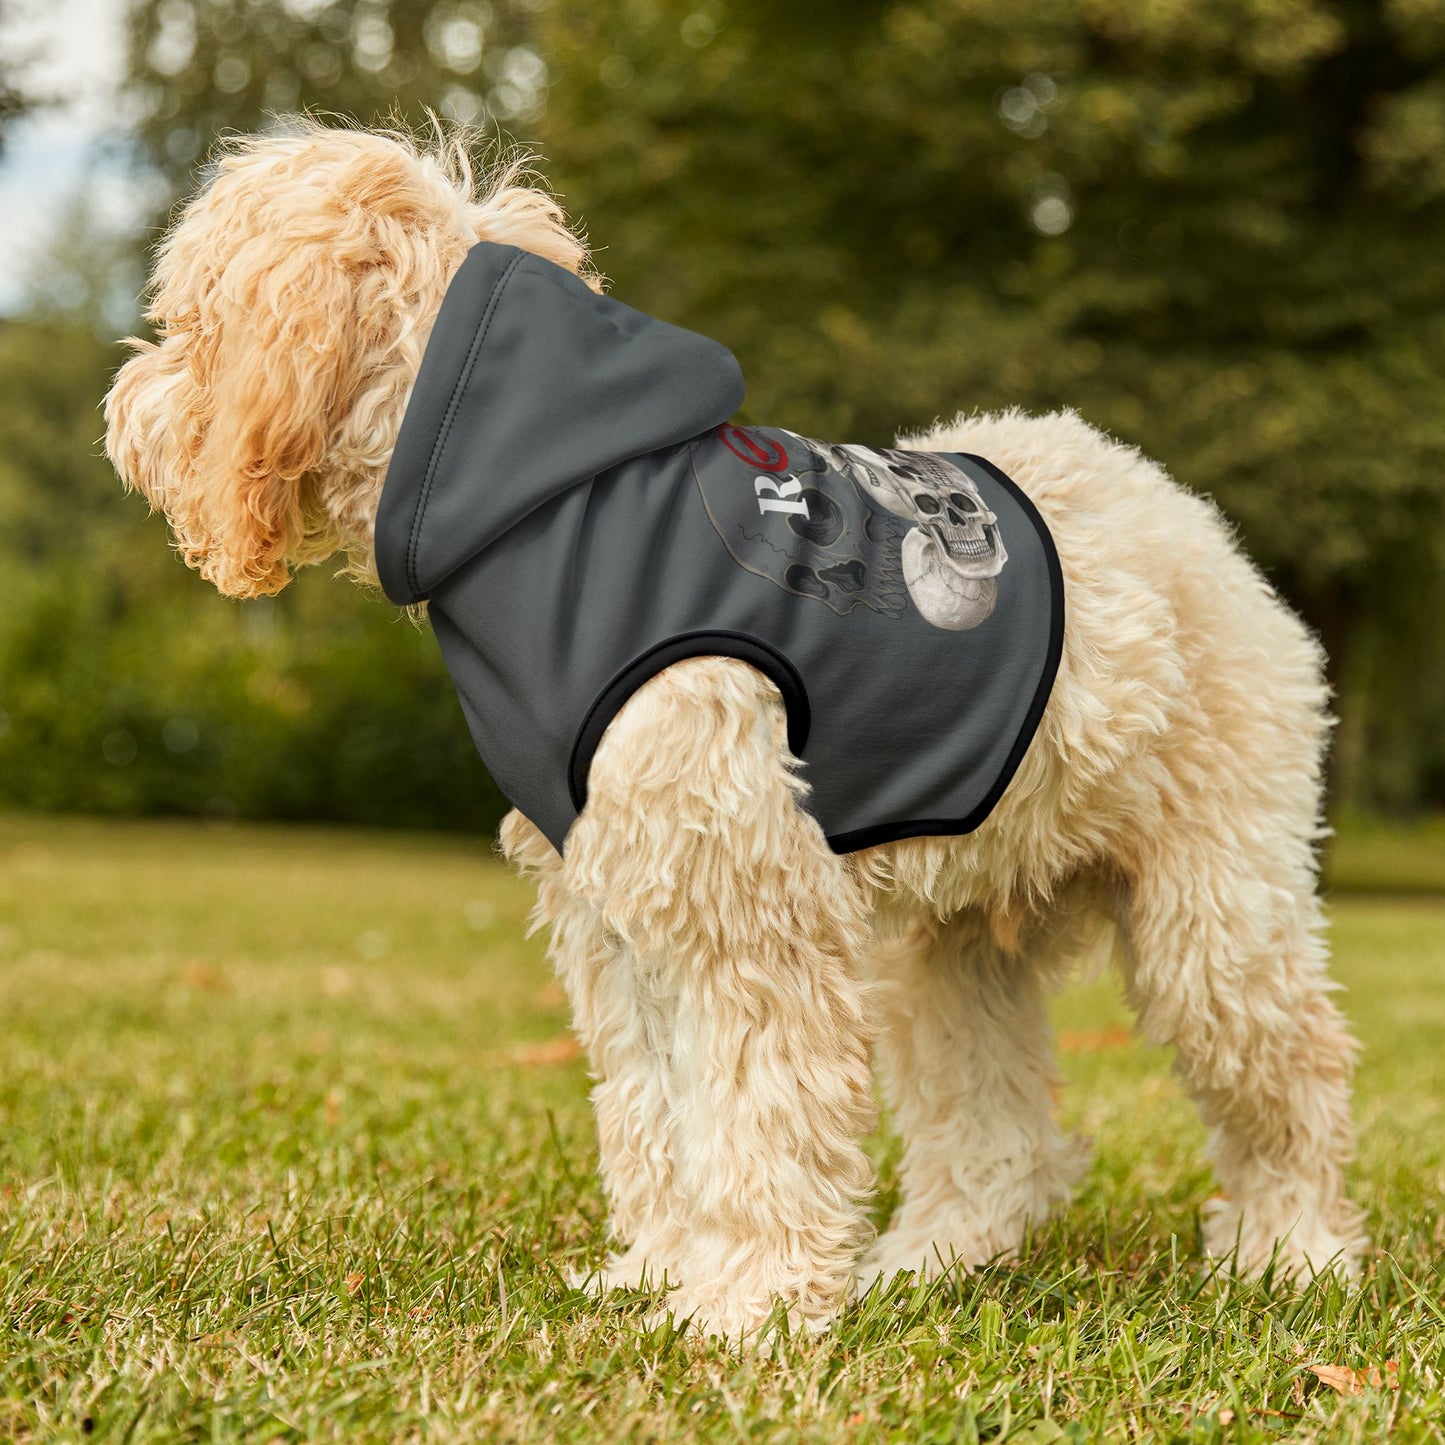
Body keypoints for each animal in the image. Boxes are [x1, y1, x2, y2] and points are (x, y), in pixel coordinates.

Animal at [104, 124, 1364, 1340]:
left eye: (190, 317)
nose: (123, 408)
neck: (544, 501)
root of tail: (1188, 517)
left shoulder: (744, 904)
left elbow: (758, 1112)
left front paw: (747, 1304)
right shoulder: (618, 909)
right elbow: (656, 1110)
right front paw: (662, 1273)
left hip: (1213, 914)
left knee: (1293, 1075)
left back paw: (1290, 1251)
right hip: (949, 947)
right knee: (996, 1134)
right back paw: (929, 1260)